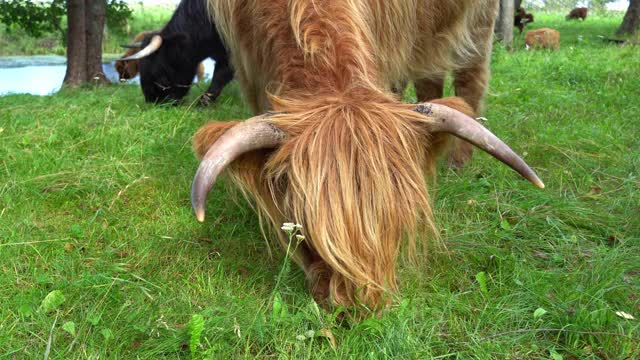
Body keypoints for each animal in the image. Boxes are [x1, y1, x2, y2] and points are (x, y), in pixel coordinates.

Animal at [191, 0, 544, 310]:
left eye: (396, 224)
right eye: (303, 232)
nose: (359, 305)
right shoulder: (248, 67)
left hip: (477, 23)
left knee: (469, 78)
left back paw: (458, 163)